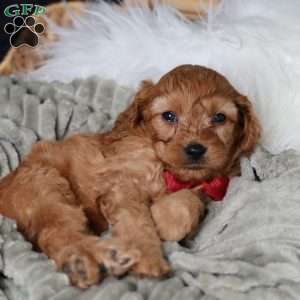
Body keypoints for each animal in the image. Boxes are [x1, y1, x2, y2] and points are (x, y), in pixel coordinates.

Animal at [0, 64, 260, 288]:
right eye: (169, 116)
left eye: (219, 118)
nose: (195, 149)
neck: (164, 168)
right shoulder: (123, 186)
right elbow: (138, 223)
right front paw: (149, 258)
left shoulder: (208, 186)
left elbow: (188, 200)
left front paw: (166, 219)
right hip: (47, 188)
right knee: (57, 233)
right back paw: (102, 258)